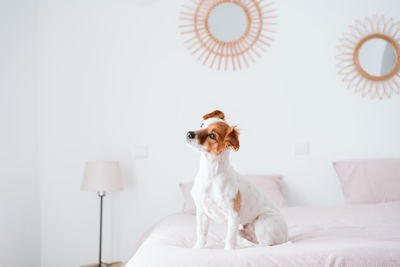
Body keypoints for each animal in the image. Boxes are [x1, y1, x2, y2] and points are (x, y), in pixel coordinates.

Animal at [187, 110, 288, 250]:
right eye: (202, 124)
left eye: (212, 135)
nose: (189, 133)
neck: (211, 174)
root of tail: (286, 236)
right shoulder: (202, 212)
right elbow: (201, 234)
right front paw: (198, 248)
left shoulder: (233, 215)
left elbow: (230, 238)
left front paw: (229, 250)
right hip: (242, 230)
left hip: (262, 222)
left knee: (264, 245)